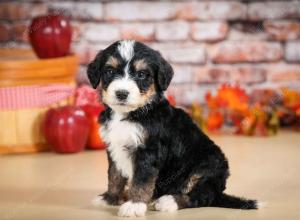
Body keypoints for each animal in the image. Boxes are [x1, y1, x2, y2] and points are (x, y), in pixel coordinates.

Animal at [87, 39, 258, 217]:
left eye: (141, 74)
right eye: (110, 71)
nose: (121, 93)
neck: (132, 114)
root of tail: (219, 192)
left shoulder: (149, 151)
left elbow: (141, 180)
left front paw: (135, 205)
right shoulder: (113, 147)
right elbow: (114, 176)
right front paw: (110, 198)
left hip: (207, 165)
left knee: (200, 196)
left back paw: (169, 201)